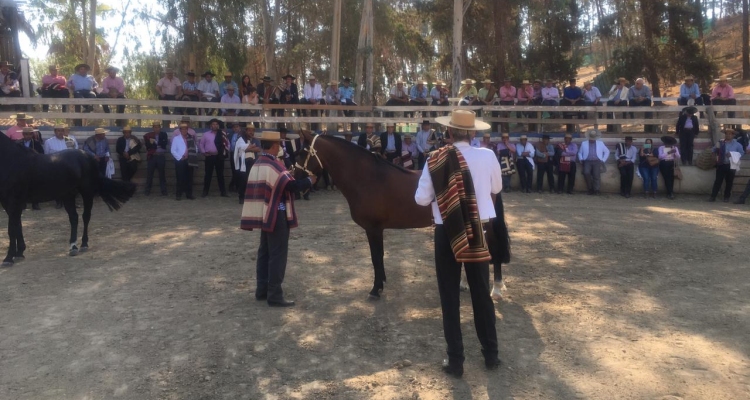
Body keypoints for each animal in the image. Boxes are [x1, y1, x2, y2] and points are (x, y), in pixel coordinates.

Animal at [1, 131, 136, 268]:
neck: (12, 160)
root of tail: (88, 156)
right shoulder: (10, 203)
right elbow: (17, 226)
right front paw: (19, 253)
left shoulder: (14, 201)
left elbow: (11, 229)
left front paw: (8, 258)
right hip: (68, 195)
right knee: (74, 217)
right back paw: (73, 246)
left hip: (86, 193)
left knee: (85, 216)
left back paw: (83, 245)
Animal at [296, 130, 434, 296]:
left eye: (302, 152)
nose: (294, 175)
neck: (370, 179)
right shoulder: (377, 229)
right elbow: (380, 255)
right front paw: (381, 282)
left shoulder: (372, 229)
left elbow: (375, 257)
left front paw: (376, 288)